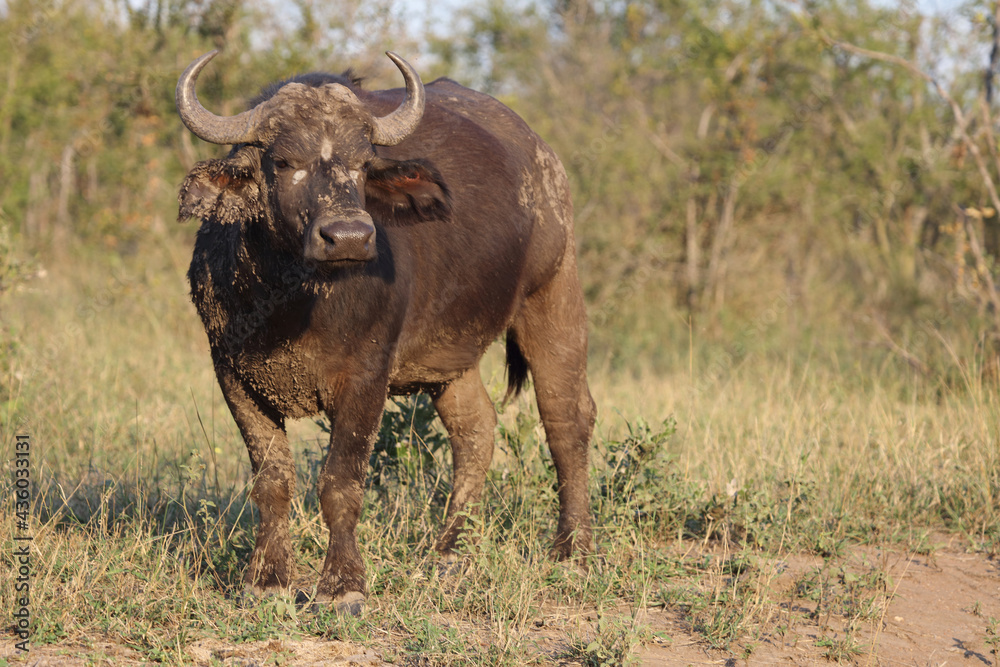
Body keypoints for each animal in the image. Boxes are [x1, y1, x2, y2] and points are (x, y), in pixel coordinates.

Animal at [177, 51, 596, 616]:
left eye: (361, 162)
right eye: (283, 161)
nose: (350, 236)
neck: (291, 302)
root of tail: (542, 155)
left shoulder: (366, 377)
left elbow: (340, 482)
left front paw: (342, 587)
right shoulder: (234, 376)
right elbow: (272, 481)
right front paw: (266, 580)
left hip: (553, 292)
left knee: (565, 418)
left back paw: (571, 550)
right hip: (450, 355)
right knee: (476, 429)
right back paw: (449, 551)